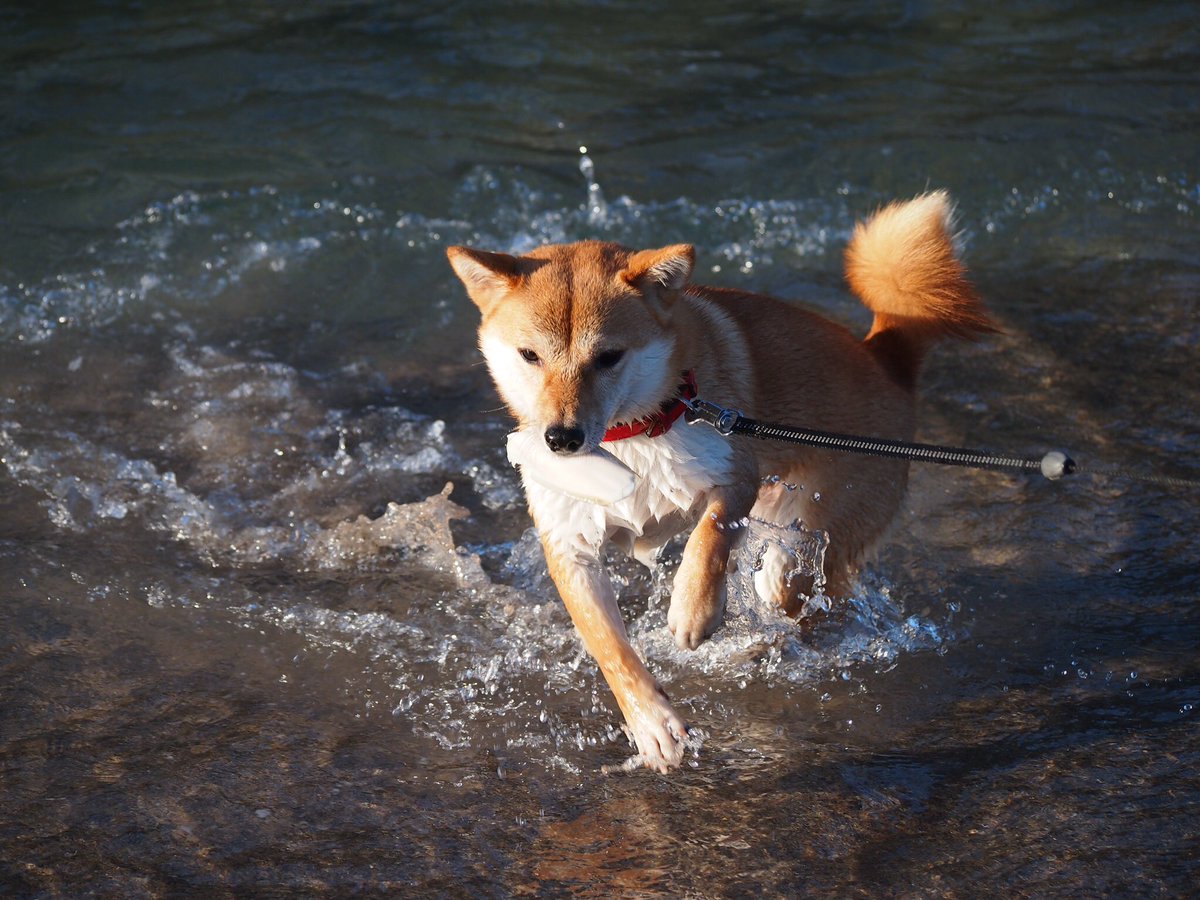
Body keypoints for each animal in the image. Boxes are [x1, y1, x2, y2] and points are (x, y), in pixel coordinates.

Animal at [448, 187, 993, 772]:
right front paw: (652, 724)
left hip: (804, 539)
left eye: (608, 357)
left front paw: (693, 609)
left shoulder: (734, 475)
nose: (562, 439)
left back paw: (761, 646)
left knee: (803, 605)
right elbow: (610, 649)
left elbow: (710, 535)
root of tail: (884, 360)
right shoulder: (569, 543)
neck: (632, 434)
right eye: (530, 355)